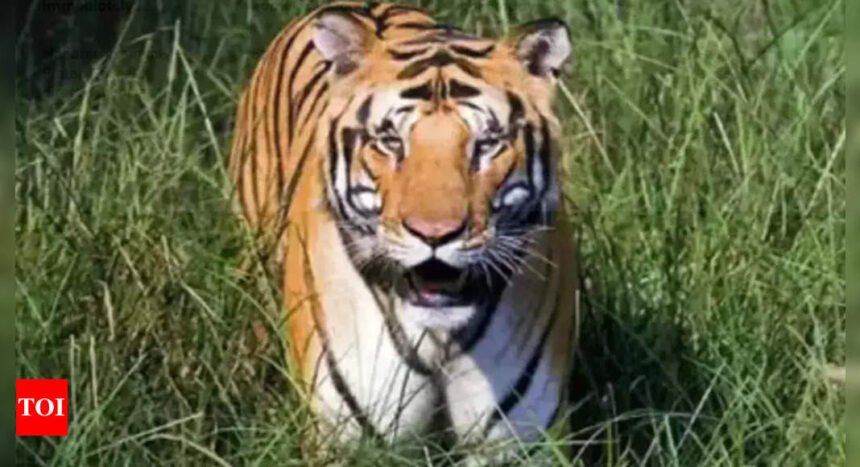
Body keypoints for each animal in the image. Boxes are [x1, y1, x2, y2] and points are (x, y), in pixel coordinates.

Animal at [228, 2, 581, 464]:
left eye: (487, 144)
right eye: (391, 142)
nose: (435, 235)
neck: (440, 339)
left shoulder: (517, 443)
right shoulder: (348, 437)